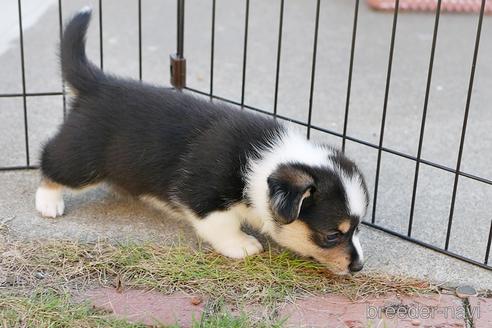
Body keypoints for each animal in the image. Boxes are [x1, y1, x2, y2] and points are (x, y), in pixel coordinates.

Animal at [36, 8, 368, 274]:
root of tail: (97, 83)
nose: (359, 267)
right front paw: (243, 245)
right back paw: (48, 201)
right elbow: (223, 224)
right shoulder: (202, 197)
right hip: (82, 159)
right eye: (332, 235)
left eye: (357, 228)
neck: (261, 160)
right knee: (50, 161)